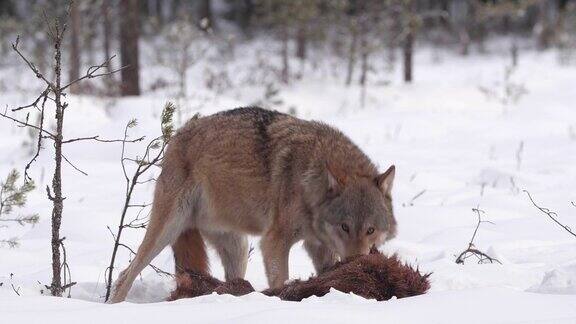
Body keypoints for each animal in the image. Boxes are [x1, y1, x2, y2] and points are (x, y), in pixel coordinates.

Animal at [108, 107, 396, 302]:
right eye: (345, 227)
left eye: (370, 230)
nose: (357, 262)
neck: (310, 178)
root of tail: (177, 135)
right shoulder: (274, 242)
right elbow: (280, 278)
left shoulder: (317, 245)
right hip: (167, 229)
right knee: (125, 275)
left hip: (237, 247)